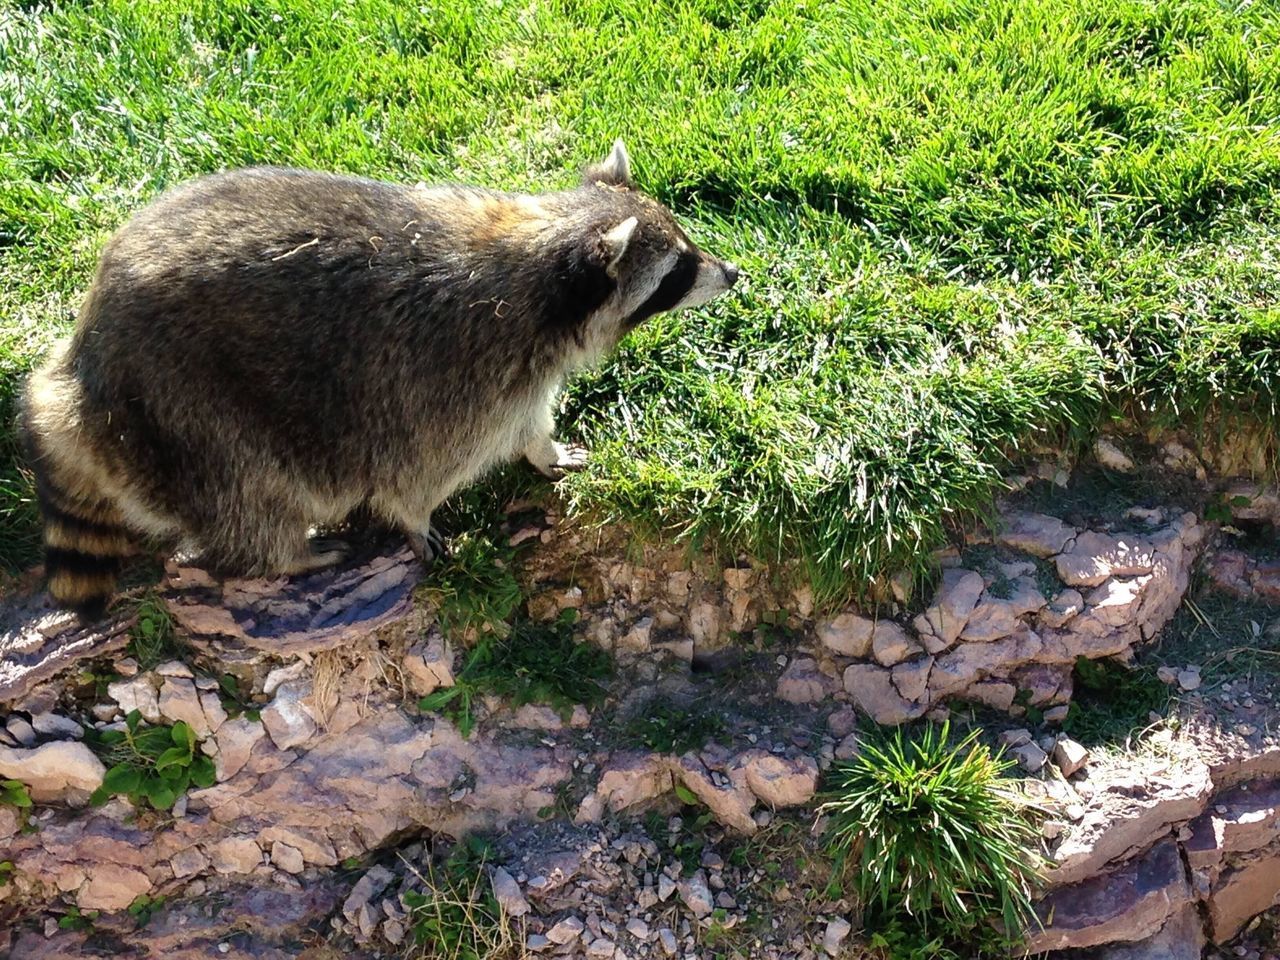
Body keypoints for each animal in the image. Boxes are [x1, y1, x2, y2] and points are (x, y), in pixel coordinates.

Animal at [20, 142, 742, 624]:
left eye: (687, 246)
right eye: (678, 271)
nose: (733, 273)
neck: (541, 259)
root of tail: (83, 354)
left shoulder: (520, 369)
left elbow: (529, 420)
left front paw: (545, 450)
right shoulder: (455, 372)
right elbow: (415, 471)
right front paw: (414, 519)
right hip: (182, 404)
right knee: (249, 489)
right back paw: (285, 554)